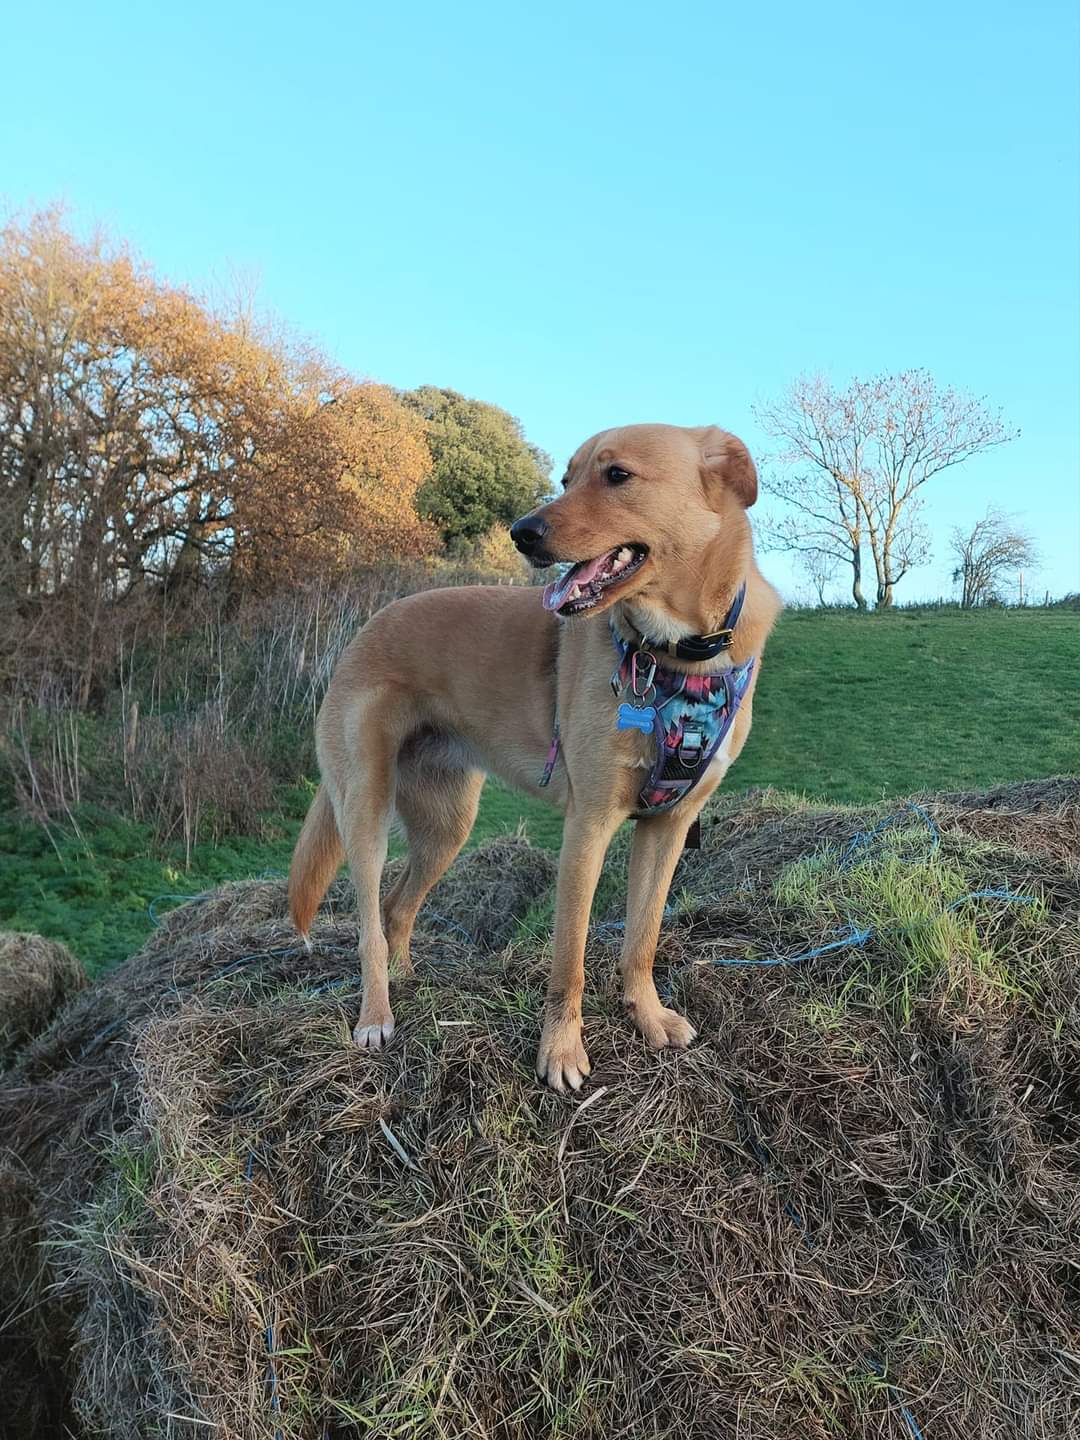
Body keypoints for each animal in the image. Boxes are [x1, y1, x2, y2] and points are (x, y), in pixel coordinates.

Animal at [288, 426, 777, 1088]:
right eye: (567, 478)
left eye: (617, 476)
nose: (522, 531)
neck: (678, 654)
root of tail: (364, 629)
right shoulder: (587, 828)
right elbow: (569, 959)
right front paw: (561, 1052)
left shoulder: (668, 826)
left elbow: (642, 938)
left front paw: (646, 1017)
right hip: (364, 811)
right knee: (368, 924)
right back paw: (376, 1014)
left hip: (446, 826)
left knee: (396, 908)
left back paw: (408, 979)